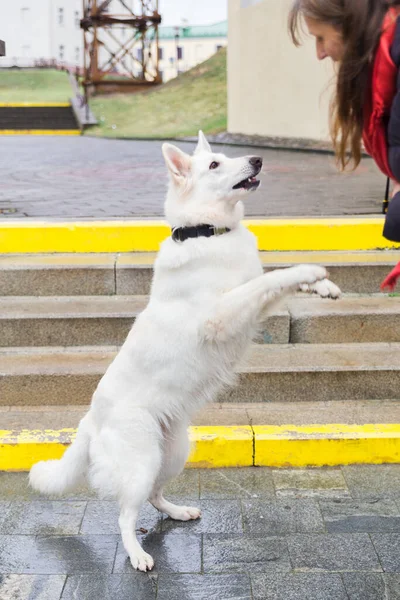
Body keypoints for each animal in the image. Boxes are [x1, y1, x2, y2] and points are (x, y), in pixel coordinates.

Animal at [29, 131, 340, 572]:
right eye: (214, 165)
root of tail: (90, 421)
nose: (258, 160)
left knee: (154, 497)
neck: (208, 231)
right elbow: (273, 278)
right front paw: (311, 272)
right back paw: (138, 555)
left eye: (224, 157)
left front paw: (324, 287)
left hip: (173, 452)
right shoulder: (222, 313)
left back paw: (177, 513)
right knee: (125, 515)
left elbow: (274, 284)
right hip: (142, 460)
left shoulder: (251, 308)